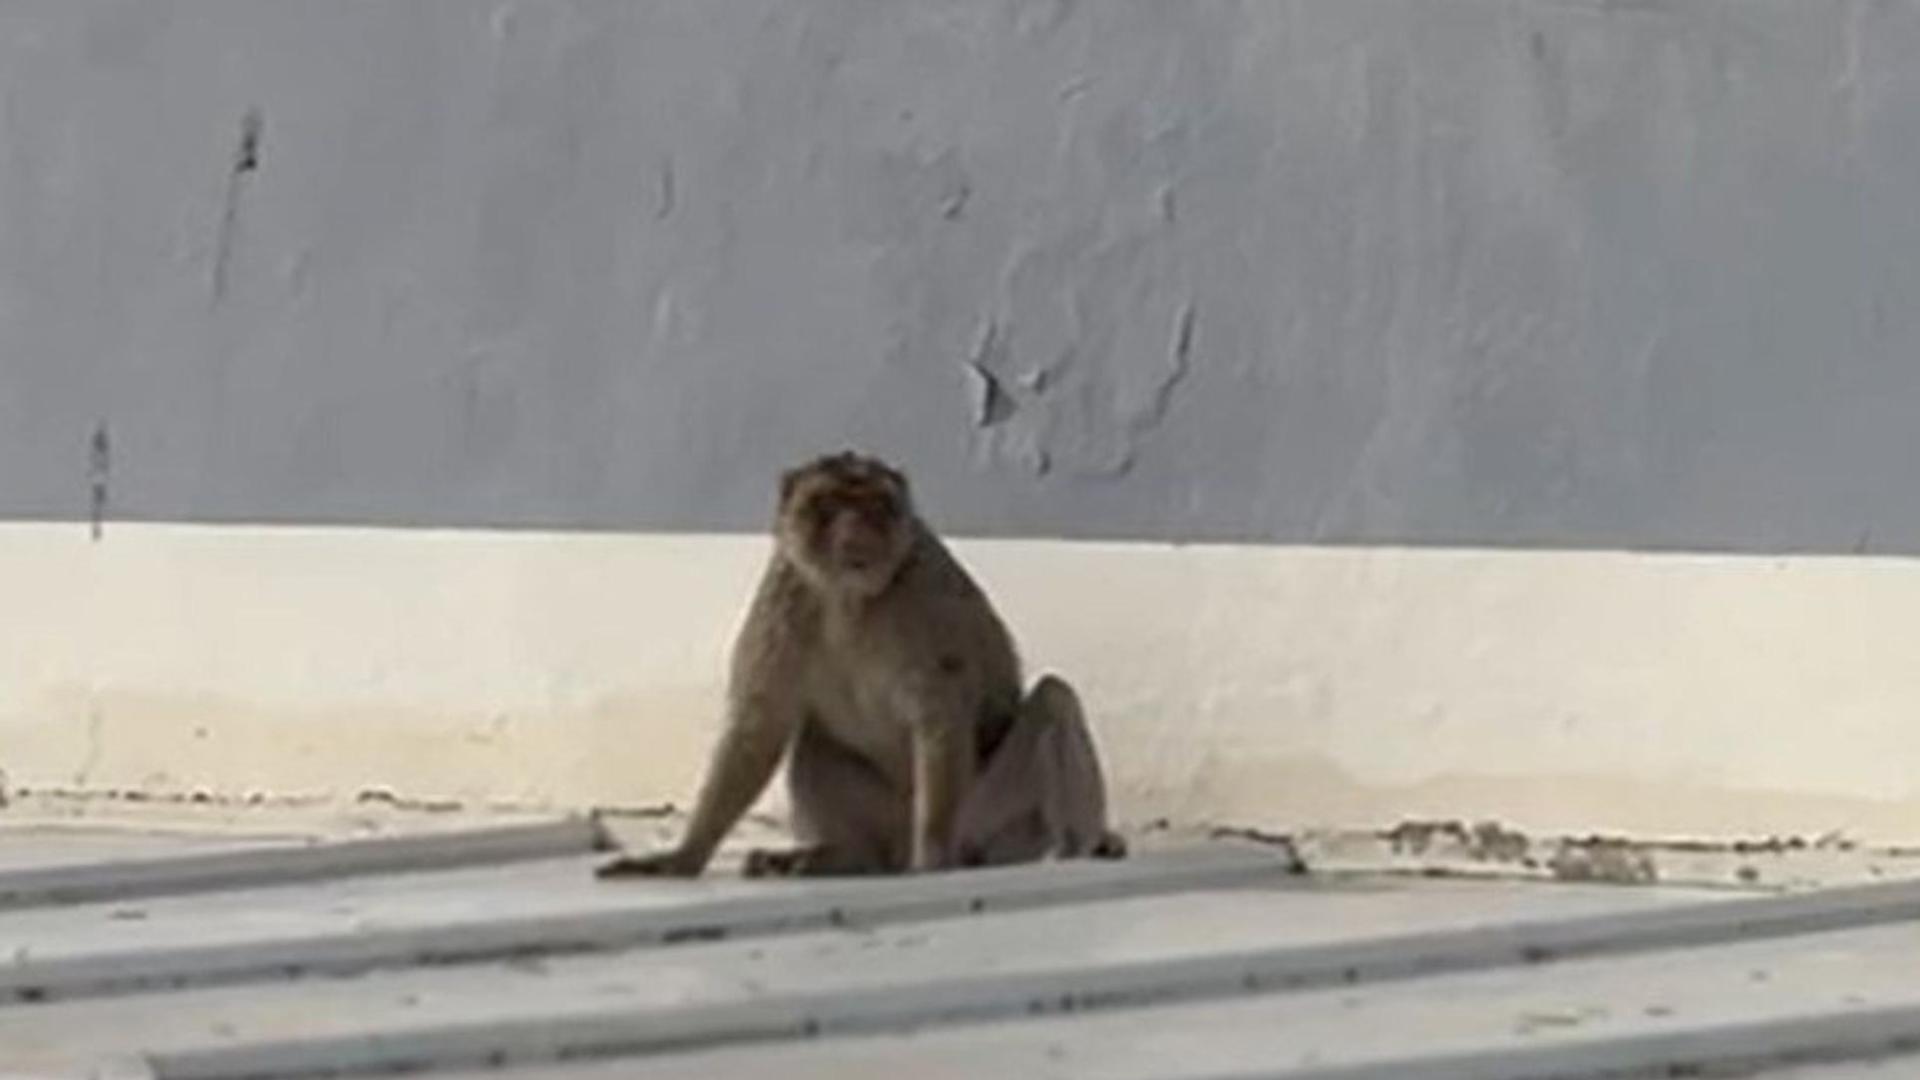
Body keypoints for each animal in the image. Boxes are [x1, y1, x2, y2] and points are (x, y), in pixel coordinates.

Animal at [596, 451, 1125, 879]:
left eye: (875, 505)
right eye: (828, 505)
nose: (855, 530)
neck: (850, 600)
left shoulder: (924, 600)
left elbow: (939, 714)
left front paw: (931, 857)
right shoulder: (786, 594)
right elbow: (760, 725)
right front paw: (682, 857)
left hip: (987, 816)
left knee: (1055, 698)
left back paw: (1065, 849)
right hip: (889, 821)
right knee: (812, 742)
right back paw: (838, 857)